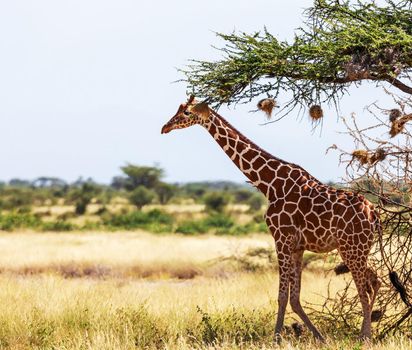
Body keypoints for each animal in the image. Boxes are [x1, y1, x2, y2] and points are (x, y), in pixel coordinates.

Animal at [161, 95, 380, 340]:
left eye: (186, 113)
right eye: (178, 109)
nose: (165, 127)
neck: (270, 185)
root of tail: (374, 215)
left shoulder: (281, 239)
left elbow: (282, 296)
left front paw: (276, 338)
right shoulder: (297, 246)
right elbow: (294, 298)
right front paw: (319, 337)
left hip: (351, 249)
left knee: (365, 288)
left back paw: (365, 337)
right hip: (359, 249)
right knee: (376, 281)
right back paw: (367, 330)